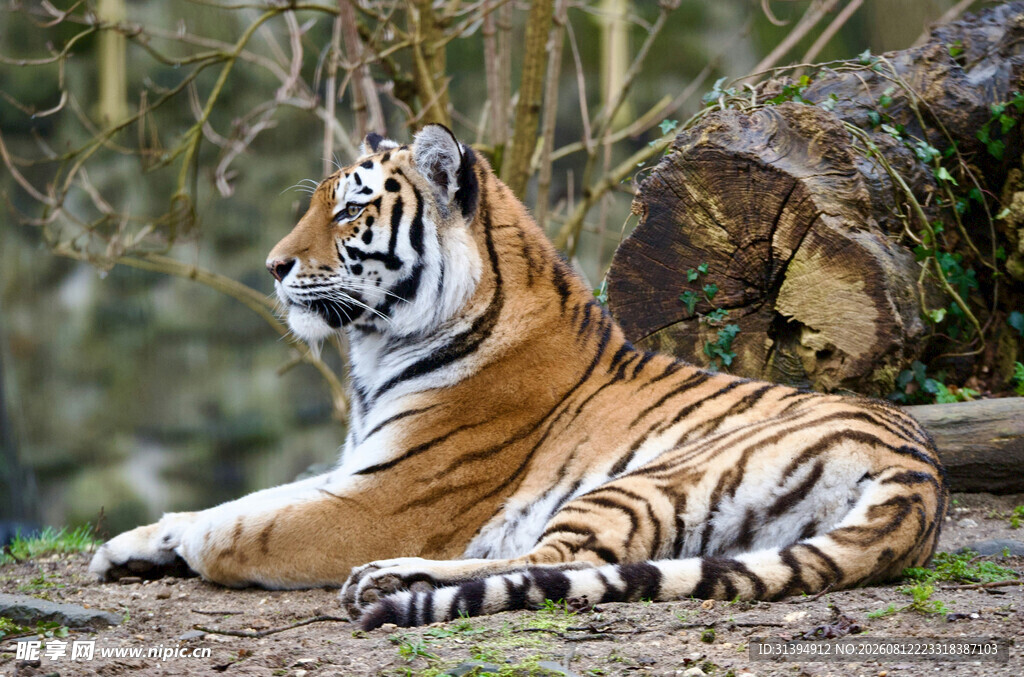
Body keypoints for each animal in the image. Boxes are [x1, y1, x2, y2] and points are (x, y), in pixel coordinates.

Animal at [89, 124, 947, 630]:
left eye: (350, 212)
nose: (272, 266)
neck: (381, 348)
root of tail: (921, 479)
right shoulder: (354, 466)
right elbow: (248, 497)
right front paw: (129, 545)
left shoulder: (384, 496)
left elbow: (254, 522)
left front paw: (189, 544)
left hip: (645, 478)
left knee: (559, 561)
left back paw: (385, 580)